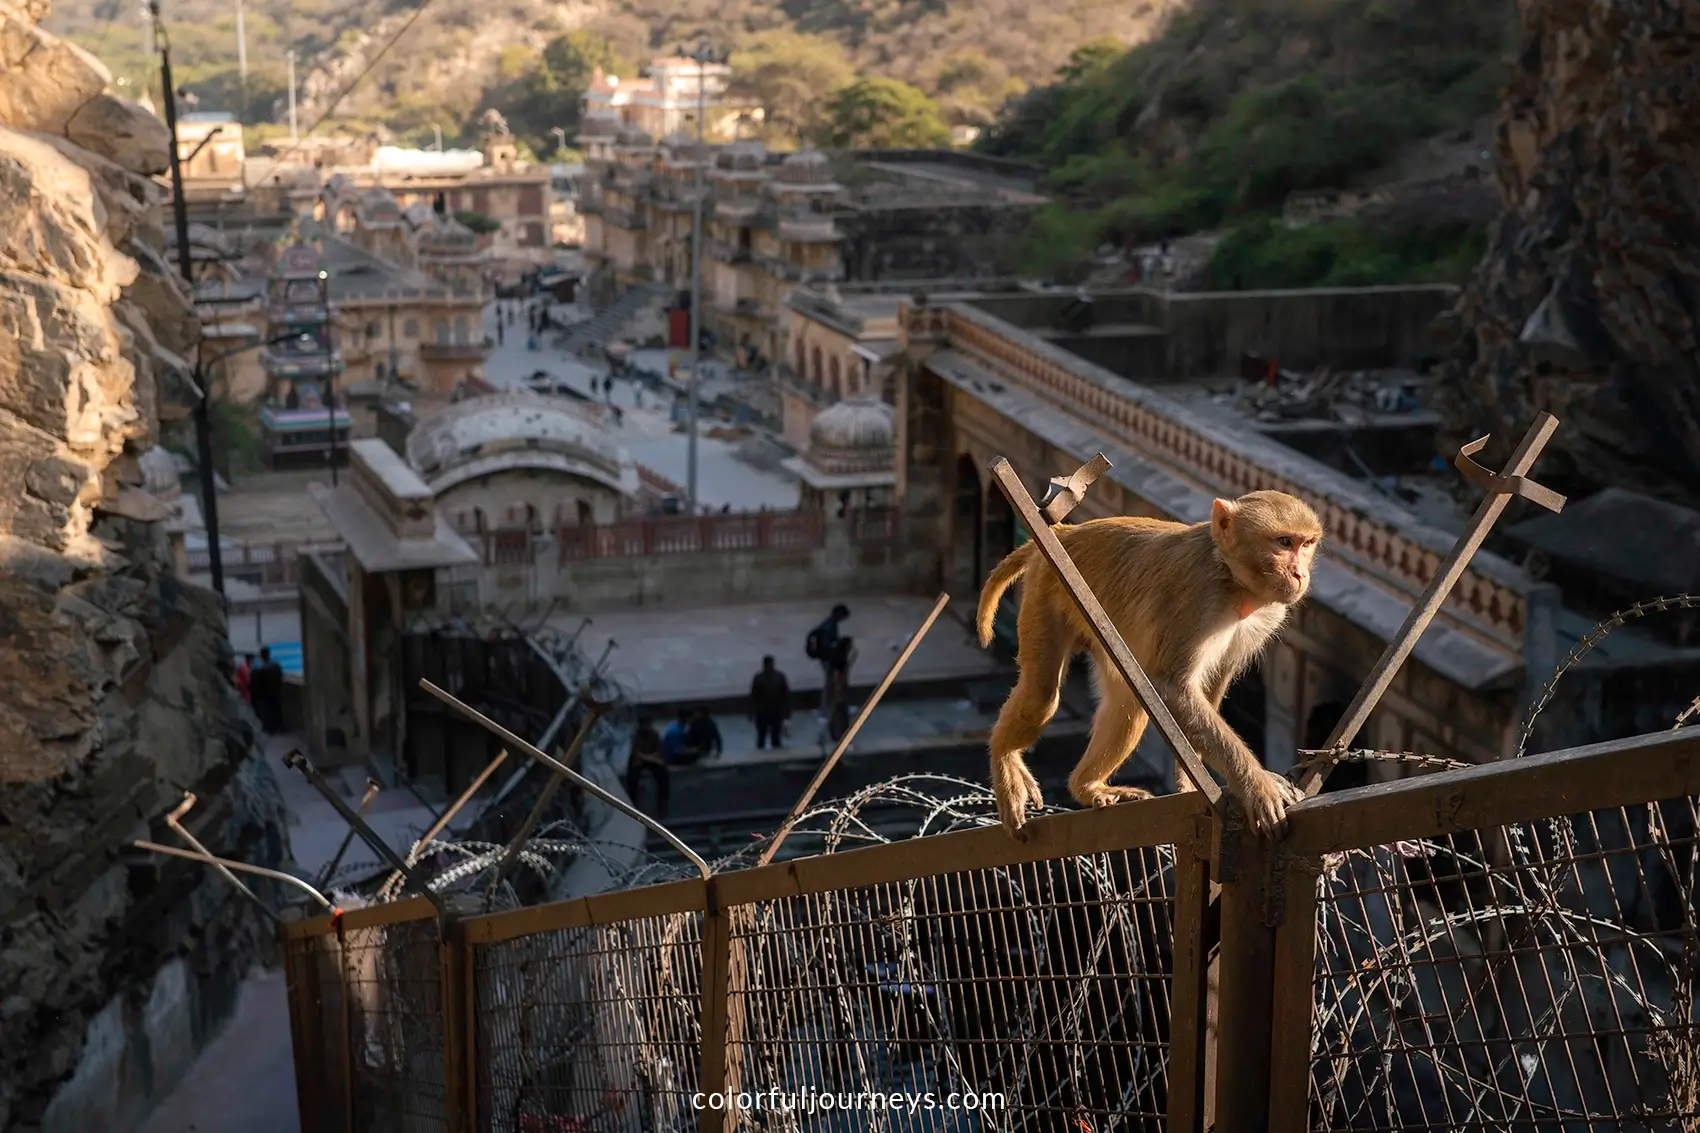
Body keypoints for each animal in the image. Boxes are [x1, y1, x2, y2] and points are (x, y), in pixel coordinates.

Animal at [975, 490, 1324, 838]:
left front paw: (1191, 782)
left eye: (1306, 544)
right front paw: (1257, 787)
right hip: (1045, 589)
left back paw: (1087, 787)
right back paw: (1003, 755)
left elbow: (1210, 685)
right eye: (1284, 542)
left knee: (1127, 704)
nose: (1300, 574)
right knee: (1042, 695)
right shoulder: (1197, 596)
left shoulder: (1268, 615)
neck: (1232, 579)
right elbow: (1172, 688)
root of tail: (1066, 532)